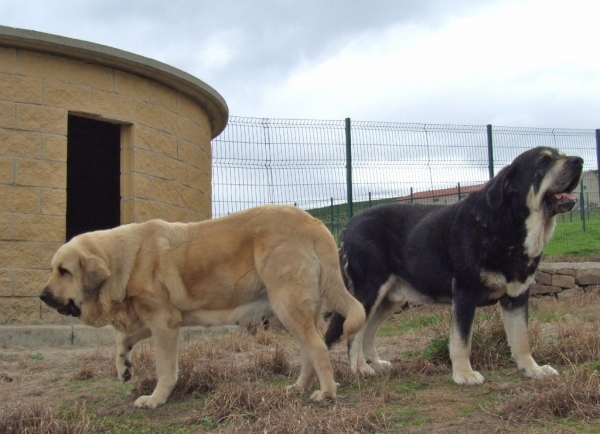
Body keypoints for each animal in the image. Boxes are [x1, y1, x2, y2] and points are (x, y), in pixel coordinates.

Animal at [41, 205, 366, 408]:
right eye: (54, 269)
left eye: (64, 271)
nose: (42, 296)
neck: (124, 259)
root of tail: (314, 223)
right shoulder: (154, 320)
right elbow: (123, 338)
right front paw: (124, 367)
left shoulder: (163, 324)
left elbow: (165, 368)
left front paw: (156, 399)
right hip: (292, 312)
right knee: (310, 351)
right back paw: (299, 387)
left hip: (287, 307)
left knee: (319, 349)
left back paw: (326, 393)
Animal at [326, 147, 584, 384]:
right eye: (543, 161)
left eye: (560, 155)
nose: (579, 160)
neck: (509, 225)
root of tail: (348, 227)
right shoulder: (464, 293)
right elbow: (462, 341)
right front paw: (464, 375)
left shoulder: (516, 297)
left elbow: (521, 340)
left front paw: (532, 370)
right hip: (369, 293)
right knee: (355, 334)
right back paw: (360, 369)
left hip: (390, 299)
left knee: (368, 331)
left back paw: (377, 364)